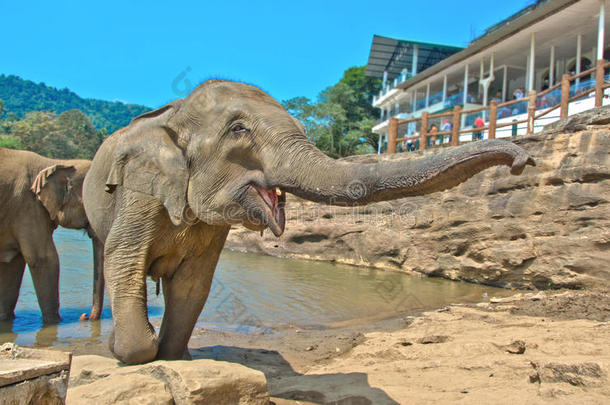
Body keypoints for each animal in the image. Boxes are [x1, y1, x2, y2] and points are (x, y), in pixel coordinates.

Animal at [0, 148, 104, 322]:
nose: (84, 316)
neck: (54, 163)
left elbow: (13, 263)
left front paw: (5, 319)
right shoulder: (28, 207)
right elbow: (43, 259)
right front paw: (55, 322)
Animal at [82, 78, 532, 362]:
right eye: (238, 130)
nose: (523, 160)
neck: (173, 117)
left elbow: (193, 283)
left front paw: (175, 356)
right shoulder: (138, 192)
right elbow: (124, 260)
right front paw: (126, 348)